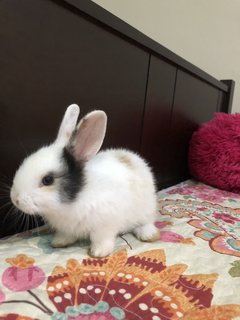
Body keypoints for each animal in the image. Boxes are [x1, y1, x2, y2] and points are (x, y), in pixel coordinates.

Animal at [10, 105, 159, 258]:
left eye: (47, 180)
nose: (15, 199)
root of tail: (131, 156)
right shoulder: (66, 229)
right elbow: (66, 236)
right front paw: (59, 242)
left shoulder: (105, 224)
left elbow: (101, 239)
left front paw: (98, 252)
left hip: (146, 208)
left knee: (147, 222)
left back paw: (148, 235)